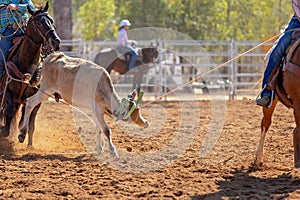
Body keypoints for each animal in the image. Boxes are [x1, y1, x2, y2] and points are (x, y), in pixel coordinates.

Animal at [0, 1, 61, 138]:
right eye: (38, 23)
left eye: (52, 21)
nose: (56, 42)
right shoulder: (7, 92)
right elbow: (9, 113)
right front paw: (5, 131)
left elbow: (29, 120)